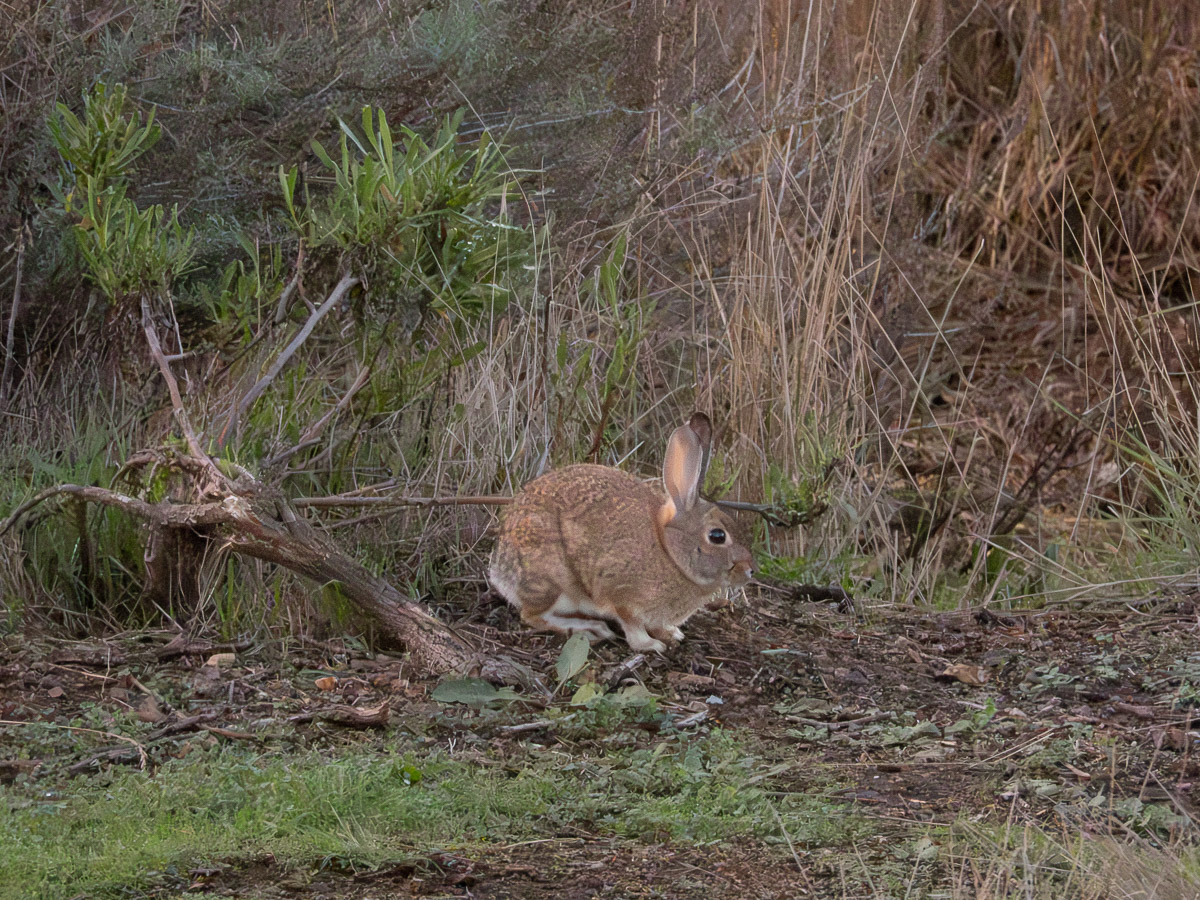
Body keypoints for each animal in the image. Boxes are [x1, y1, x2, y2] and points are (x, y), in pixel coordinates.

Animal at [488, 412, 754, 653]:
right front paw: (650, 645)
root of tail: (499, 569)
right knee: (532, 615)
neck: (669, 552)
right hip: (553, 581)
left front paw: (670, 634)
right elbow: (632, 626)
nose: (750, 570)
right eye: (717, 536)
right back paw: (592, 629)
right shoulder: (621, 595)